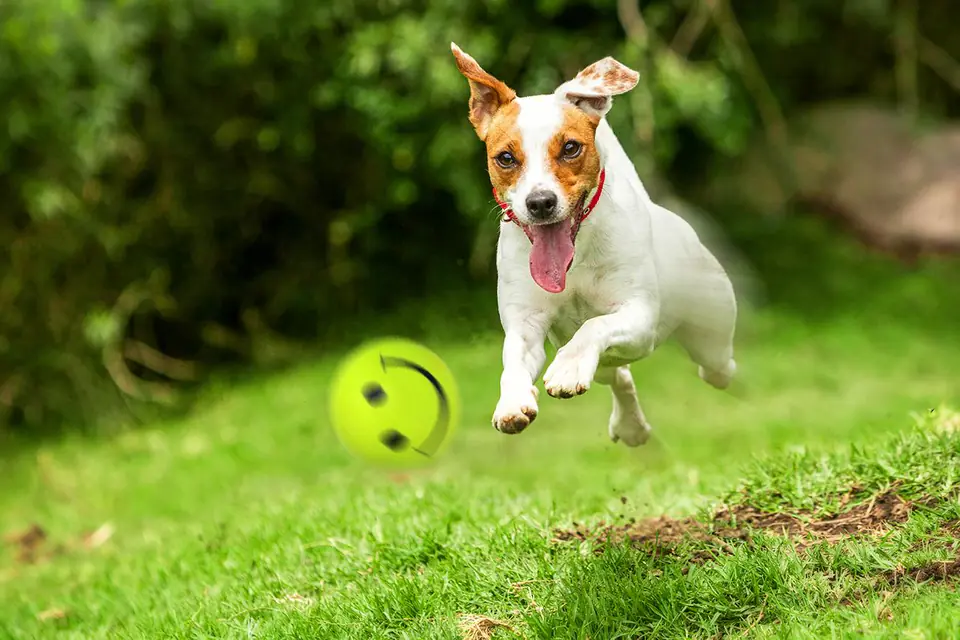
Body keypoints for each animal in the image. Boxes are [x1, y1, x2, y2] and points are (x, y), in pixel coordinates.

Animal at [450, 43, 736, 444]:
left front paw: (568, 369)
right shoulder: (526, 324)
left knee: (717, 367)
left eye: (571, 148)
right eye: (505, 157)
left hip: (712, 330)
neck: (576, 259)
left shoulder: (640, 316)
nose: (540, 202)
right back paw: (630, 426)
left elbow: (594, 326)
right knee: (618, 375)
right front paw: (513, 402)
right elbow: (514, 361)